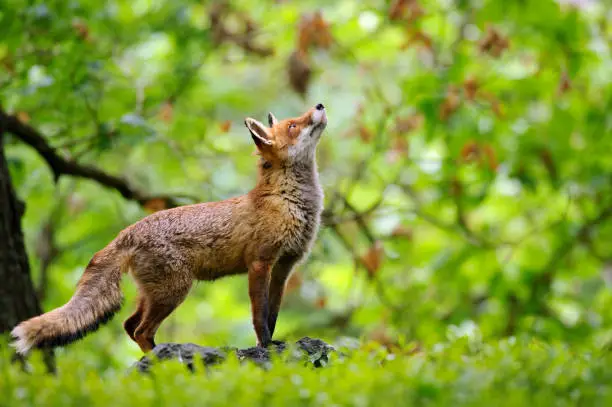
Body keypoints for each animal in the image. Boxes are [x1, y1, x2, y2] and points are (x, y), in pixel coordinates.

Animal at [9, 103, 328, 356]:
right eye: (293, 125)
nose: (320, 106)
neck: (289, 201)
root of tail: (129, 231)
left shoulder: (284, 267)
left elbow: (273, 314)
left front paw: (274, 344)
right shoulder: (260, 262)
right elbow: (259, 317)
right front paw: (264, 347)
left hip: (154, 294)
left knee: (129, 325)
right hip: (174, 291)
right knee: (140, 330)